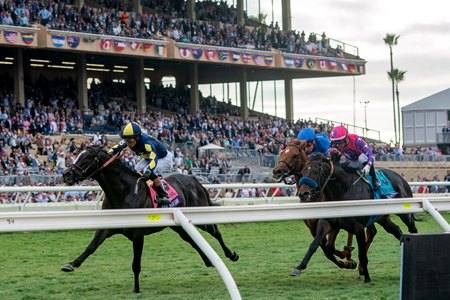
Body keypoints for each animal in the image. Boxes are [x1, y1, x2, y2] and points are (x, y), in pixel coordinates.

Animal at [62, 146, 239, 292]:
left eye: (87, 157)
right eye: (77, 155)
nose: (66, 174)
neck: (124, 192)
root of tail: (194, 180)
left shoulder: (138, 234)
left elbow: (136, 264)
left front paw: (136, 288)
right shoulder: (107, 227)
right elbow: (91, 247)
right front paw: (71, 264)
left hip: (199, 214)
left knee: (215, 232)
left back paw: (231, 255)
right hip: (178, 225)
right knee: (192, 240)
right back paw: (209, 261)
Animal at [294, 154, 416, 282]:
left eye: (316, 171)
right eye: (302, 172)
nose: (303, 194)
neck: (343, 191)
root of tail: (401, 178)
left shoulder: (359, 227)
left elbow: (361, 253)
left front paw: (366, 277)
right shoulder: (326, 223)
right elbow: (315, 245)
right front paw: (299, 267)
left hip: (405, 213)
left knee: (412, 228)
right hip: (382, 218)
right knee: (396, 230)